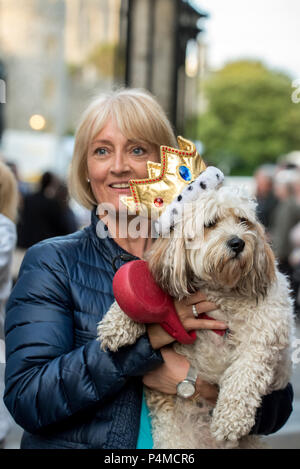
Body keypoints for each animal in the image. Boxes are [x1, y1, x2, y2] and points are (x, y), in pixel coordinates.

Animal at [97, 185, 294, 448]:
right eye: (210, 223)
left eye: (243, 221)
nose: (237, 242)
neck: (220, 293)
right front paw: (116, 324)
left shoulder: (262, 339)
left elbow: (243, 377)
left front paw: (230, 420)